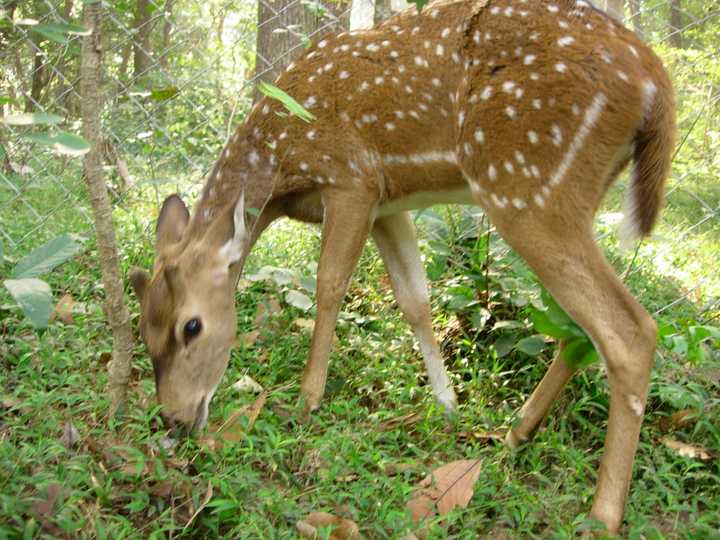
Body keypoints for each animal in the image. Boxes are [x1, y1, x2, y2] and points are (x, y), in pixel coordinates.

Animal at [128, 0, 676, 532]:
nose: (174, 418)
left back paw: (602, 513)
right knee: (581, 328)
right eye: (144, 330)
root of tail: (656, 83)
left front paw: (306, 400)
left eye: (191, 326)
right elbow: (415, 300)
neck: (281, 156)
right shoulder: (388, 205)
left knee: (629, 329)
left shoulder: (351, 178)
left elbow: (330, 285)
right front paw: (447, 404)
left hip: (527, 183)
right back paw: (516, 432)